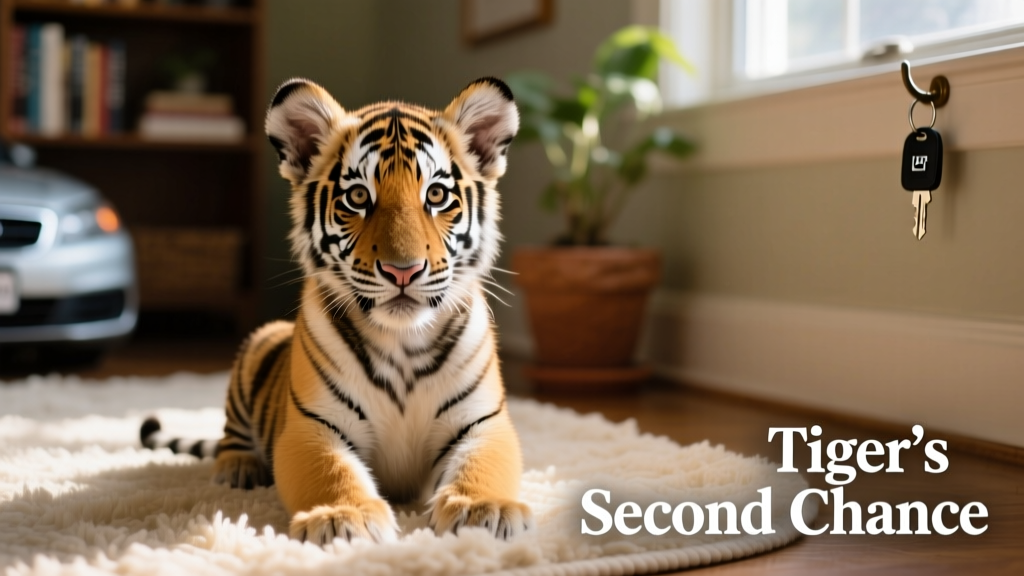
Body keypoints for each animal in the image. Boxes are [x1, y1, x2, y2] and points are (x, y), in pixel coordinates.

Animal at [140, 77, 530, 544]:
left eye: (436, 195)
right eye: (358, 196)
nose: (403, 270)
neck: (402, 342)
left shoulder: (483, 422)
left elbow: (482, 464)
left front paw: (483, 509)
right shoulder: (312, 425)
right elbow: (332, 471)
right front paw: (344, 517)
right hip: (257, 346)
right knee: (231, 434)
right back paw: (238, 467)